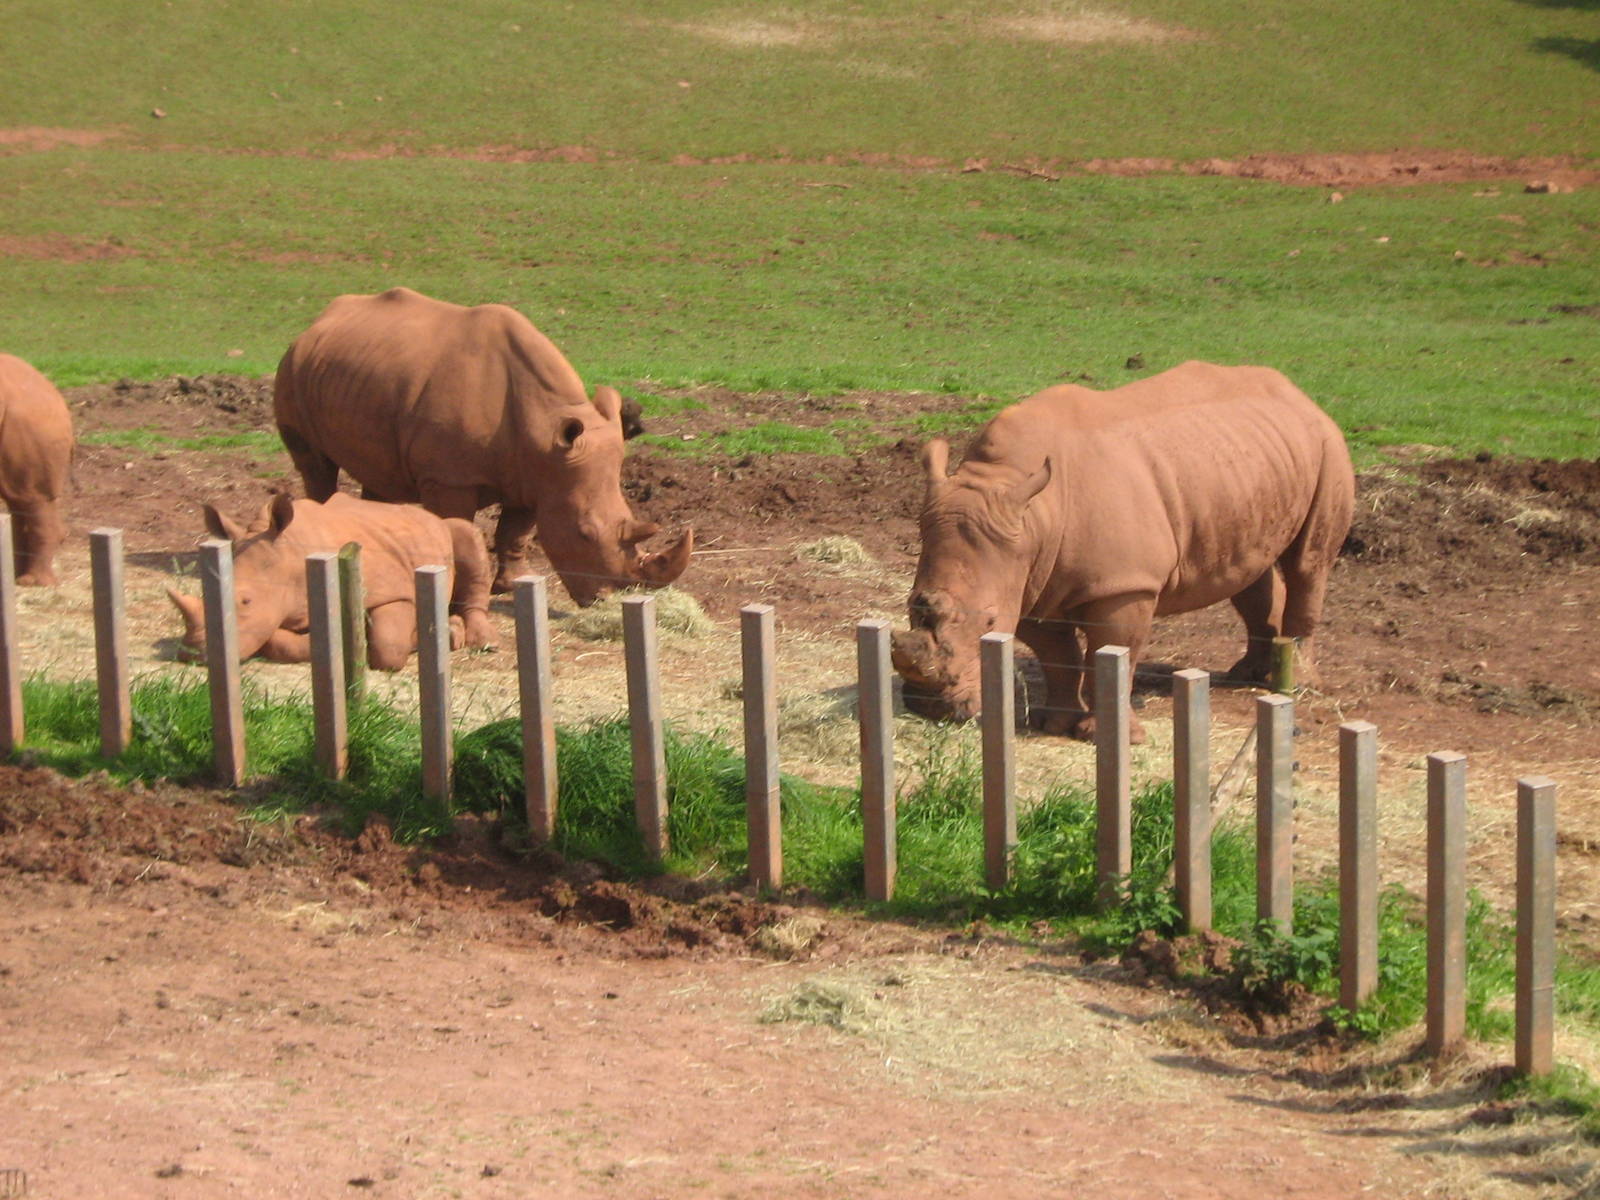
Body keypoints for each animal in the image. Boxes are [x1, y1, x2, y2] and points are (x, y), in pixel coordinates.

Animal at [166, 492, 497, 669]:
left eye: (246, 601)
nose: (191, 654)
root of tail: (425, 513)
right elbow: (281, 642)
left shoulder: (395, 590)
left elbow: (388, 645)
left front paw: (448, 633)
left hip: (440, 530)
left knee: (465, 533)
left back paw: (476, 638)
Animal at [273, 287, 690, 604]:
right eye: (584, 533)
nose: (608, 599)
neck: (546, 430)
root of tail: (317, 322)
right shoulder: (448, 478)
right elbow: (458, 528)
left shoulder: (536, 477)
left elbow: (515, 534)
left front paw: (509, 587)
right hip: (291, 368)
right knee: (316, 465)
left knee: (377, 473)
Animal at [890, 362, 1355, 742]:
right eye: (911, 605)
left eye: (988, 621)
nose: (929, 708)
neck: (1032, 510)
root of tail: (1298, 393)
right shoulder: (1030, 581)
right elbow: (1056, 655)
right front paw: (1053, 723)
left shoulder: (1123, 585)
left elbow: (1114, 653)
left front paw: (1104, 736)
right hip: (1249, 466)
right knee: (1249, 570)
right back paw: (1247, 675)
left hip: (1328, 445)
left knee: (1308, 563)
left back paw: (1296, 683)